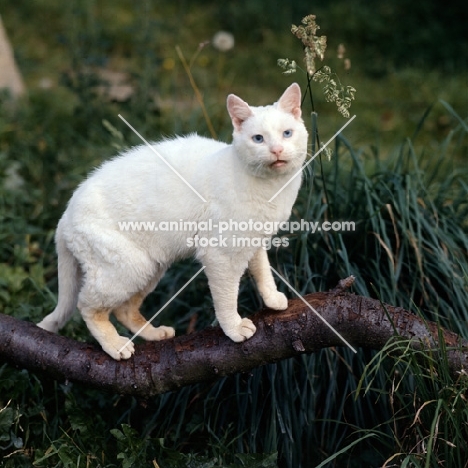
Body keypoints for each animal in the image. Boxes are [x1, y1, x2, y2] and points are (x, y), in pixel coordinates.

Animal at [38, 84, 308, 360]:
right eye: (258, 139)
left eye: (287, 134)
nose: (276, 150)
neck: (271, 188)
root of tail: (65, 214)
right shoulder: (220, 255)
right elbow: (226, 297)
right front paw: (234, 328)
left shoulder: (254, 241)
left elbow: (263, 271)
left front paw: (273, 299)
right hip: (128, 268)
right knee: (88, 306)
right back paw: (117, 346)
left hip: (151, 267)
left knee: (123, 310)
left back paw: (155, 334)